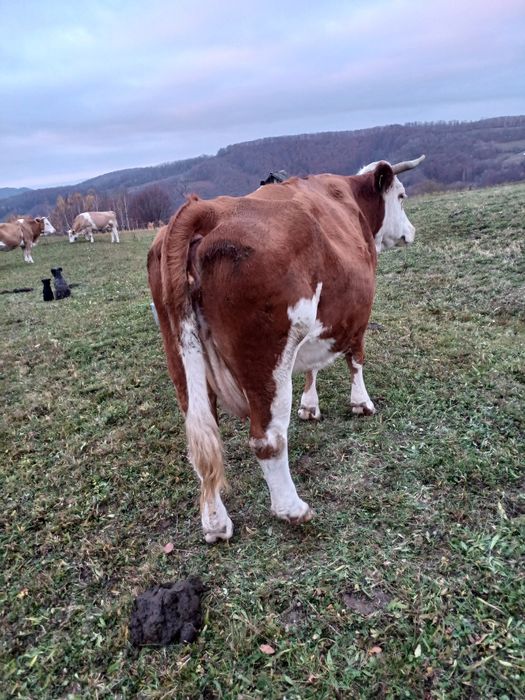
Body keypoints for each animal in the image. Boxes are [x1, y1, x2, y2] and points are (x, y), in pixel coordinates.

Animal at [148, 155, 425, 543]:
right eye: (401, 195)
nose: (411, 232)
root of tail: (206, 208)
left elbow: (312, 365)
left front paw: (309, 406)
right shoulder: (358, 312)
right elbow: (355, 357)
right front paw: (361, 404)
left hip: (181, 359)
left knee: (201, 442)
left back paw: (215, 524)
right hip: (267, 358)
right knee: (268, 439)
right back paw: (291, 509)